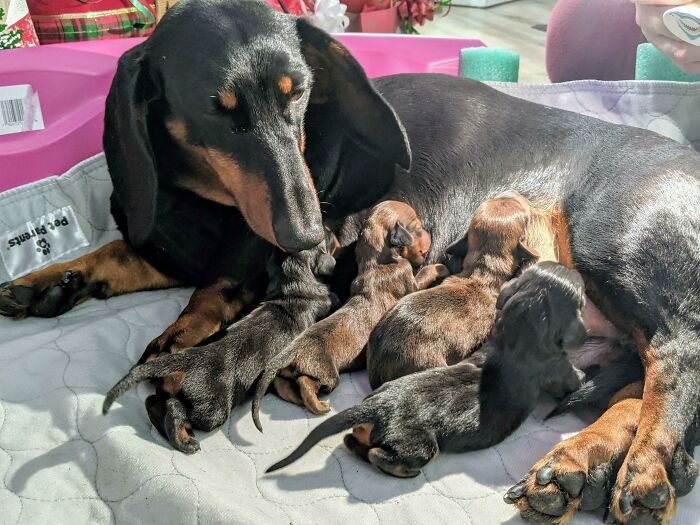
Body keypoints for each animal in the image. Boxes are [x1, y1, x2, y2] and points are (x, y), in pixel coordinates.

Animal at [102, 244, 340, 452]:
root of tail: (179, 361)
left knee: (153, 402)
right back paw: (184, 440)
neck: (292, 288)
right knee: (173, 409)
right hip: (212, 410)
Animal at [253, 199, 448, 428]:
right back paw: (318, 405)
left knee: (283, 385)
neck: (376, 262)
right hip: (326, 373)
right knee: (306, 383)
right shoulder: (411, 281)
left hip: (289, 373)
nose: (429, 232)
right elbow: (424, 272)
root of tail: (290, 352)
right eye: (417, 227)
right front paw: (440, 267)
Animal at [268, 262, 592, 474]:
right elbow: (574, 378)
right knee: (379, 455)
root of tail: (377, 406)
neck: (518, 332)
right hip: (420, 445)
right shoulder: (559, 370)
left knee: (353, 440)